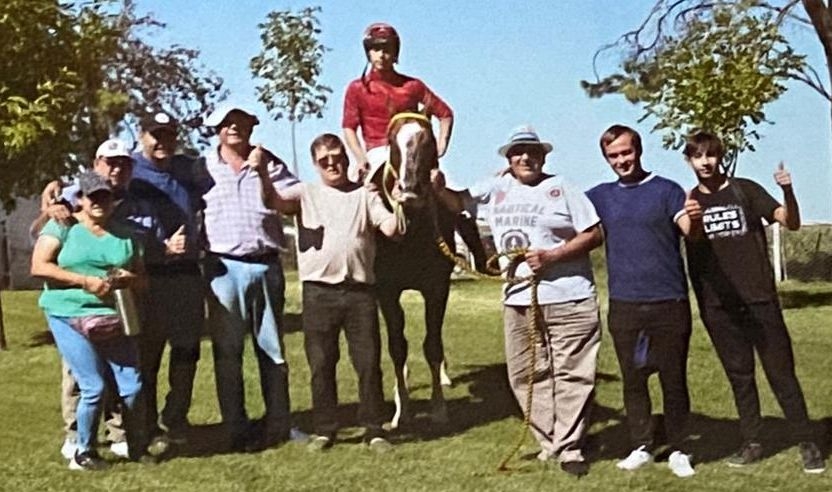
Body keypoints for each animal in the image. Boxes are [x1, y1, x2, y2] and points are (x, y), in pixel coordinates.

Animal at [371, 112, 458, 428]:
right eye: (391, 141)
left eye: (429, 141)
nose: (409, 193)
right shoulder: (386, 291)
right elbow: (398, 347)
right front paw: (402, 411)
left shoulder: (437, 288)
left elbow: (433, 345)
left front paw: (439, 409)